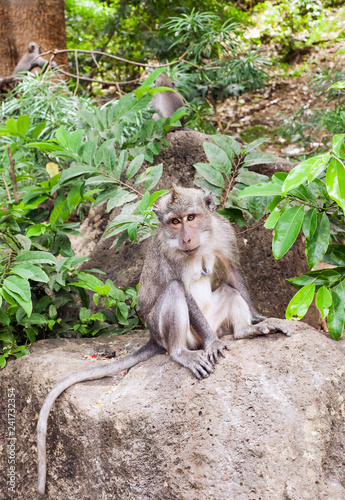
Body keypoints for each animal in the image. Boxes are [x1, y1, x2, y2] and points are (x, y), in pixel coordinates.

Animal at [36, 186, 288, 494]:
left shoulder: (224, 232)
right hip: (170, 330)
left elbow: (232, 271)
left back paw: (243, 331)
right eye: (174, 222)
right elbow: (182, 289)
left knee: (228, 291)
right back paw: (182, 352)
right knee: (175, 291)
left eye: (191, 217)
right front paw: (213, 343)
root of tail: (153, 337)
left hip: (214, 320)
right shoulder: (169, 253)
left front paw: (257, 318)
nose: (186, 238)